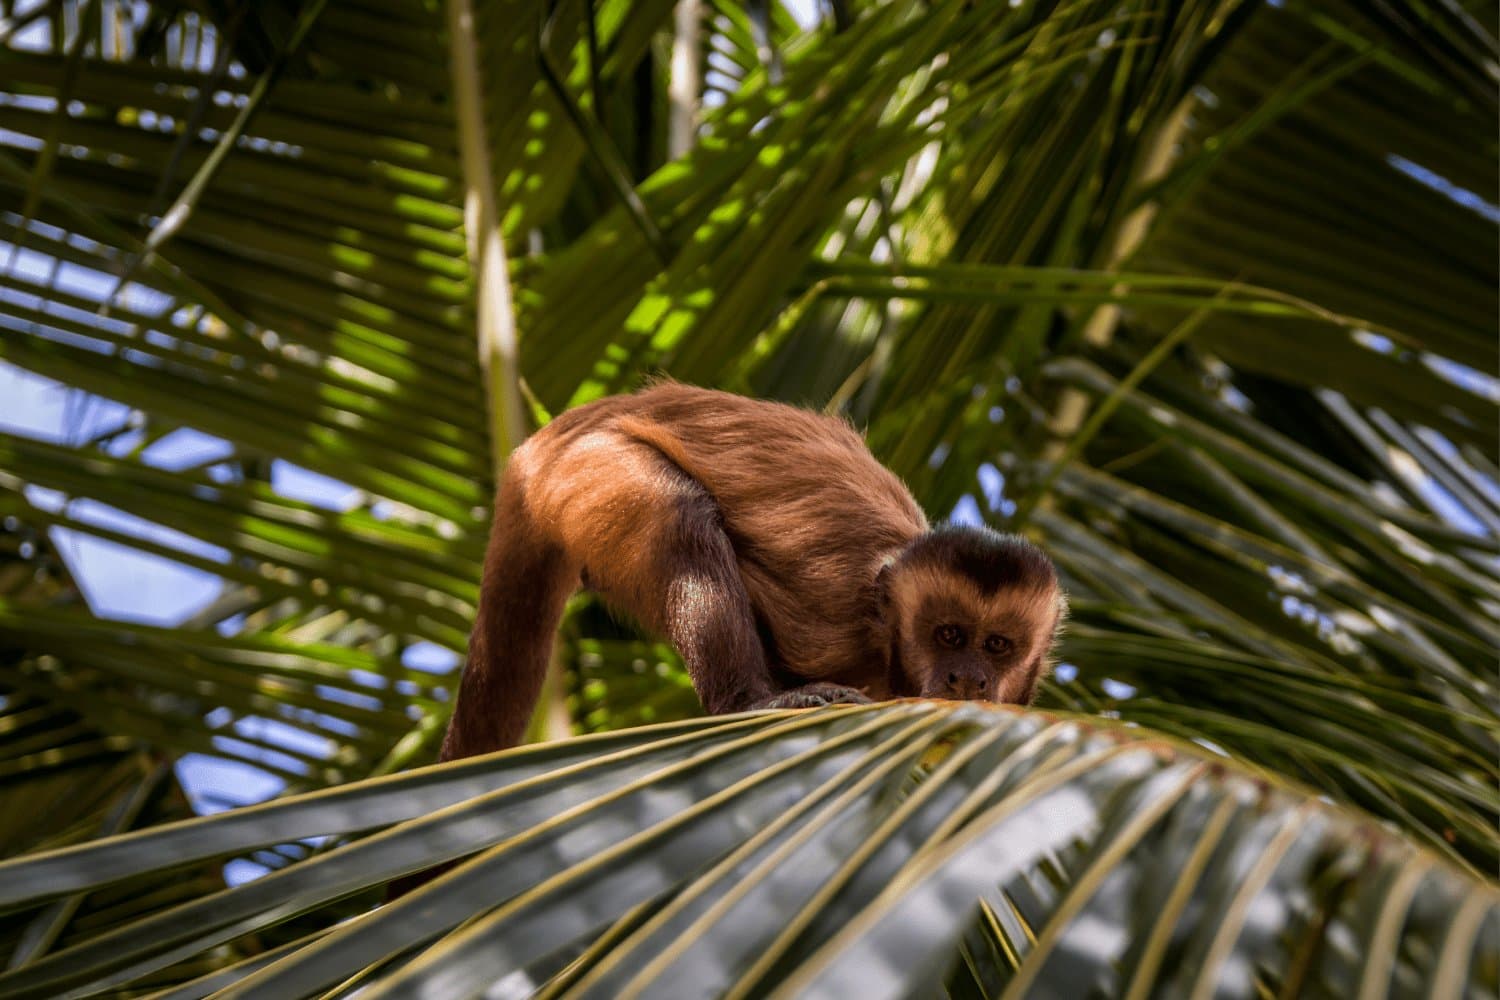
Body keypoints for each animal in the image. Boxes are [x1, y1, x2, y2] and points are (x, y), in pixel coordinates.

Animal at [439, 381, 1066, 763]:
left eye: (998, 646)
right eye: (949, 636)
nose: (968, 679)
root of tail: (537, 447)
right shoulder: (835, 622)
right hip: (587, 466)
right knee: (681, 516)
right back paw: (745, 702)